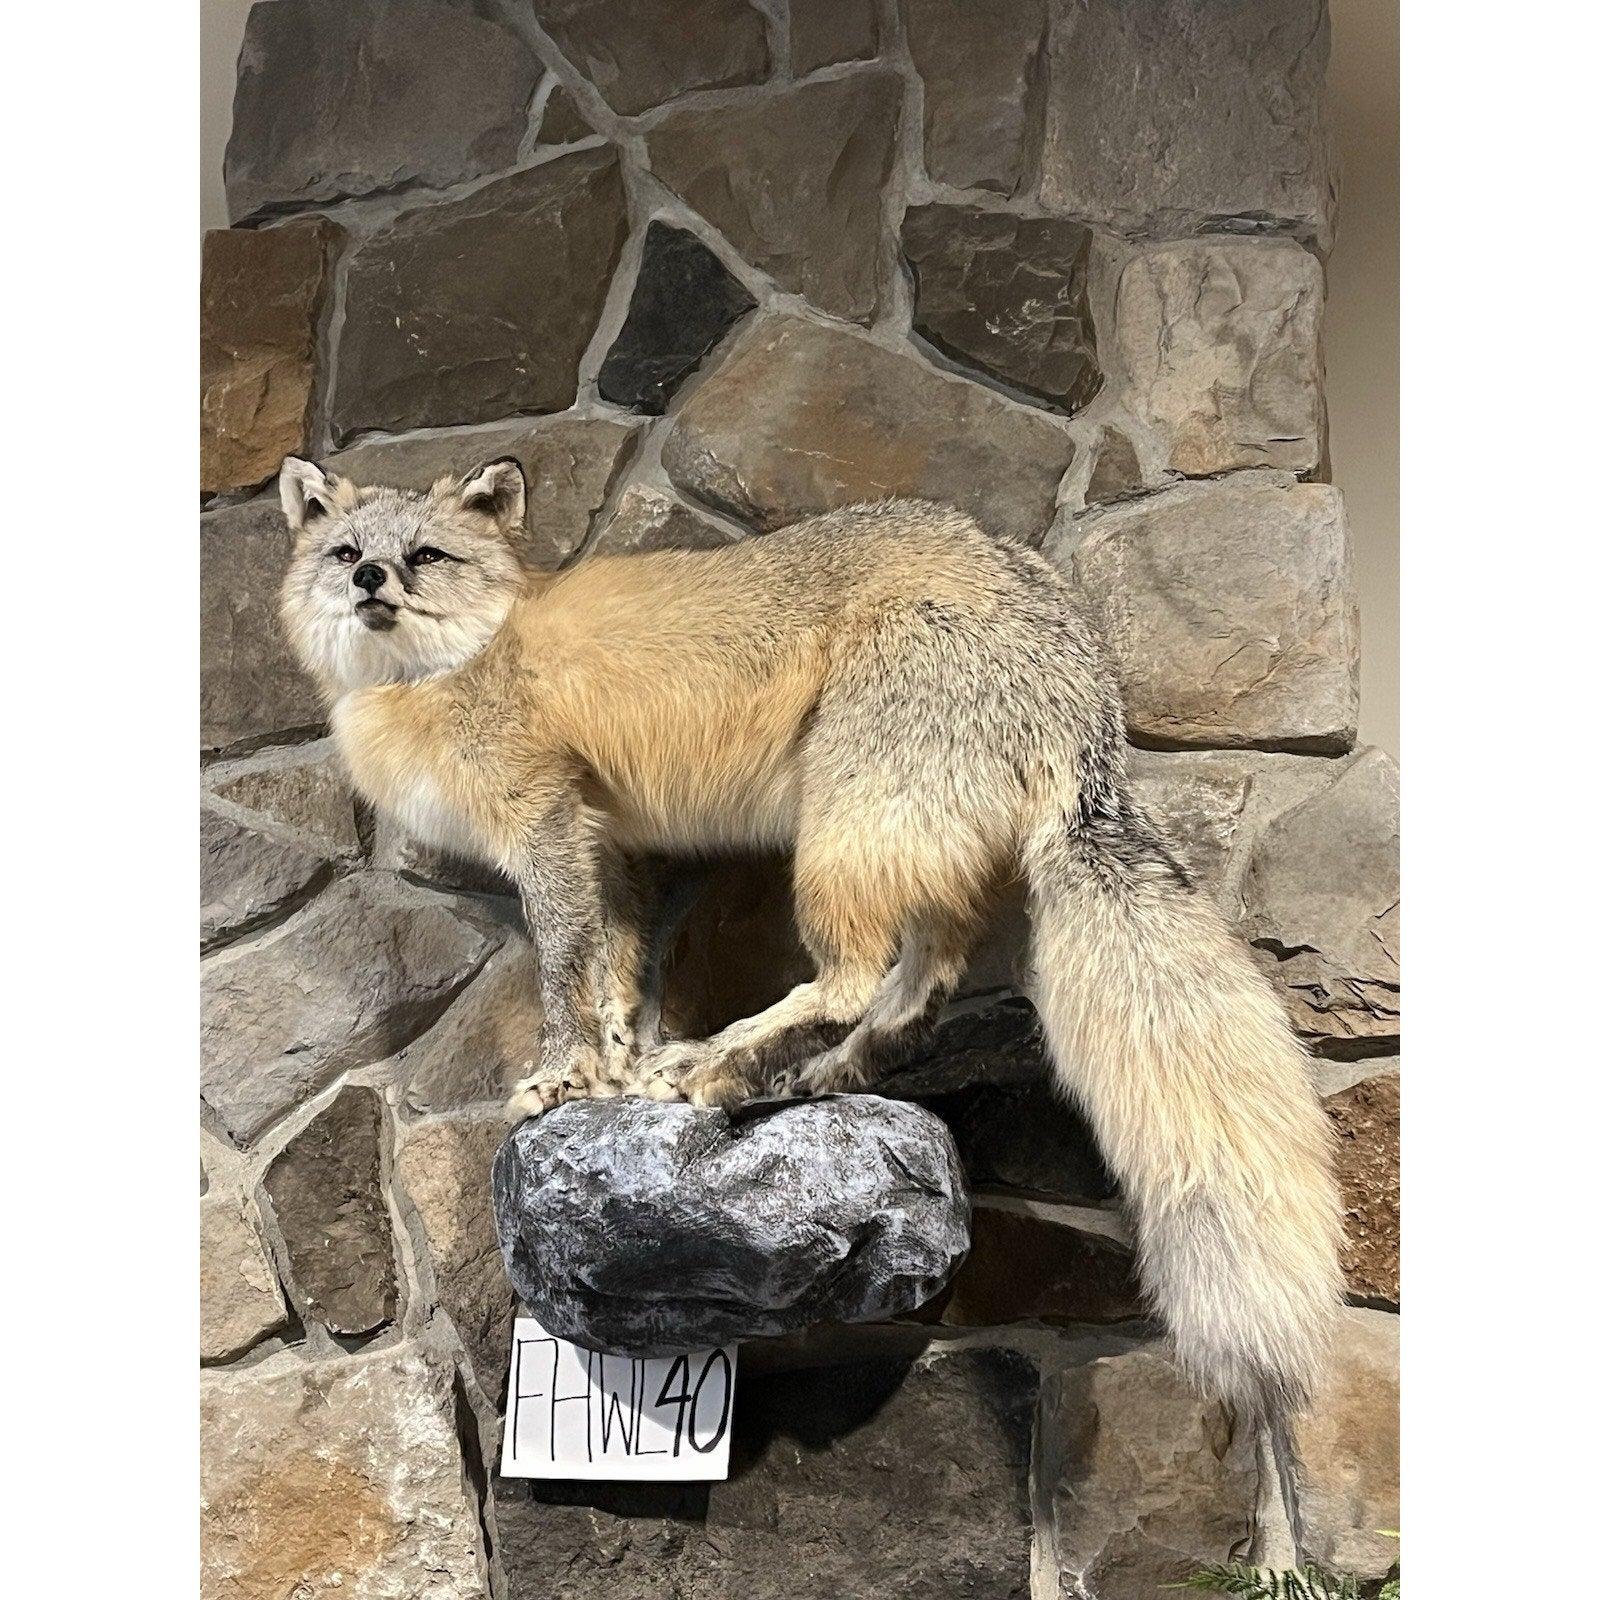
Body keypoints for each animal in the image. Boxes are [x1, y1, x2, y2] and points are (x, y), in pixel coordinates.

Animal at [276, 452, 1343, 1461]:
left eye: (424, 556)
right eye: (347, 552)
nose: (369, 578)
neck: (465, 660)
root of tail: (1071, 648)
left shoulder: (547, 830)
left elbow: (565, 972)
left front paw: (564, 1077)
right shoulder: (610, 845)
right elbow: (615, 974)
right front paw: (611, 1068)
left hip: (838, 840)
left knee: (853, 980)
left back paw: (711, 1065)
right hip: (910, 858)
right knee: (918, 991)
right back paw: (820, 1075)